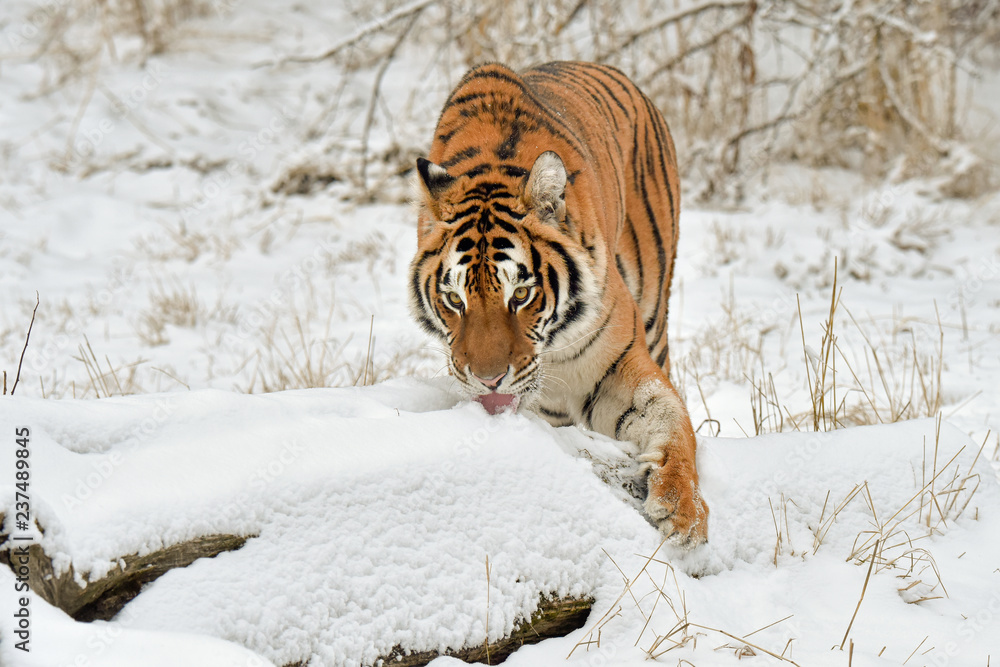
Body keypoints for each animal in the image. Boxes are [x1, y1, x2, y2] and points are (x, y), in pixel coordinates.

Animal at [409, 61, 708, 547]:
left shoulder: (619, 365)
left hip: (654, 309)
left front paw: (684, 511)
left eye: (521, 294)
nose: (489, 381)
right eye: (454, 299)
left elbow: (672, 417)